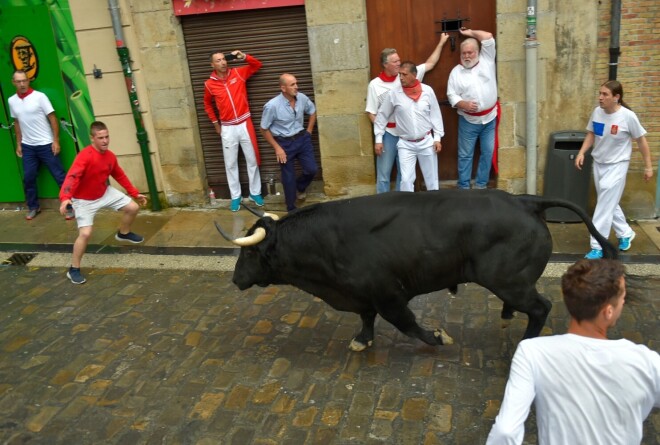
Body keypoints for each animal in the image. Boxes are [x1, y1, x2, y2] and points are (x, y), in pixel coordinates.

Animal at [218, 190, 620, 350]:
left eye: (249, 255)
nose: (235, 279)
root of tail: (525, 201)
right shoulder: (364, 294)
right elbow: (366, 319)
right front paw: (362, 340)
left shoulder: (389, 296)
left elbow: (409, 325)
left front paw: (439, 337)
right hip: (514, 282)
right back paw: (508, 316)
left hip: (509, 281)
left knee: (541, 307)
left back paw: (524, 338)